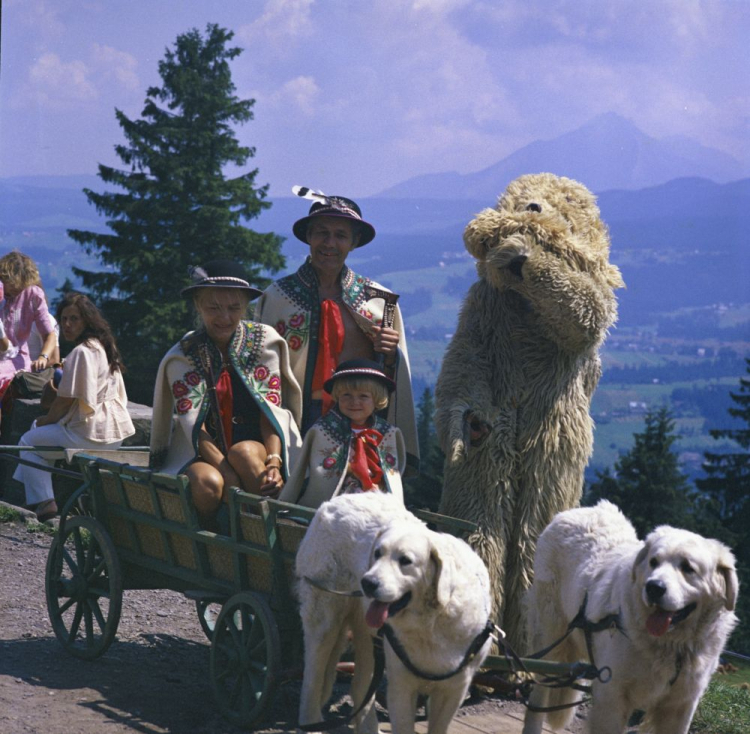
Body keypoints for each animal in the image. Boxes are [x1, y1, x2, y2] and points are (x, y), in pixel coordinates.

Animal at [294, 494, 494, 734]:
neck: (431, 620)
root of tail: (336, 500)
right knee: (312, 674)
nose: (367, 583)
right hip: (325, 613)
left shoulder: (454, 690)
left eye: (405, 561)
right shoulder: (401, 684)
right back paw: (311, 722)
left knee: (359, 686)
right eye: (377, 553)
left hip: (369, 636)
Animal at [524, 500, 740, 734]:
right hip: (550, 637)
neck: (670, 645)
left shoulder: (680, 706)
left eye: (687, 568)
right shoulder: (611, 696)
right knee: (539, 693)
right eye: (654, 562)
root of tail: (577, 511)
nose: (654, 587)